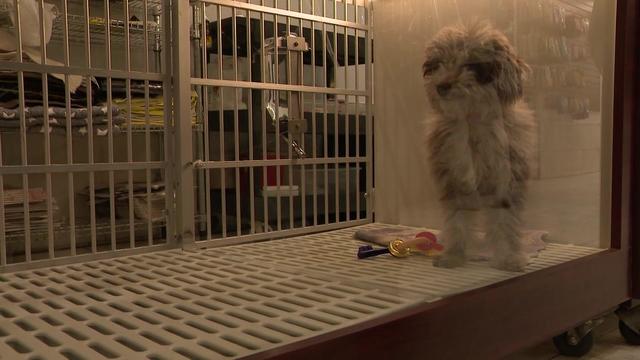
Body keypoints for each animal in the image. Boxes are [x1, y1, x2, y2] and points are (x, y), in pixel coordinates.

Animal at [424, 22, 536, 272]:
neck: (471, 119)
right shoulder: (454, 181)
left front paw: (510, 257)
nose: (442, 86)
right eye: (438, 64)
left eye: (470, 64)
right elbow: (456, 223)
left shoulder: (506, 183)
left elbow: (506, 223)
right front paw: (454, 255)